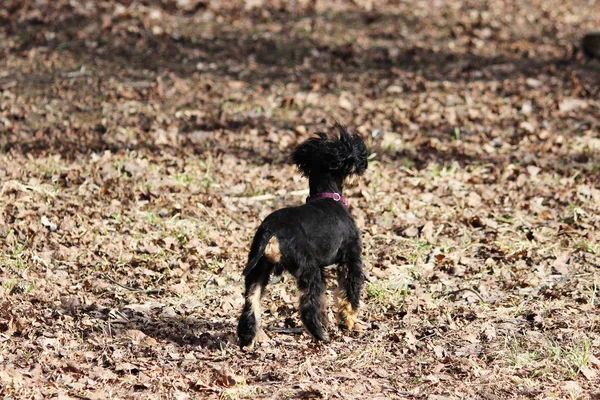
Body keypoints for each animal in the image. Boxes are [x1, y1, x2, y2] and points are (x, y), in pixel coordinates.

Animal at [237, 124, 368, 346]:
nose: (363, 165)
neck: (327, 196)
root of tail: (272, 231)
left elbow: (324, 298)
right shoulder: (351, 258)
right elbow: (349, 292)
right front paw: (347, 320)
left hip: (259, 269)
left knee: (250, 301)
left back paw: (247, 338)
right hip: (307, 268)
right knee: (306, 304)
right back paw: (320, 335)